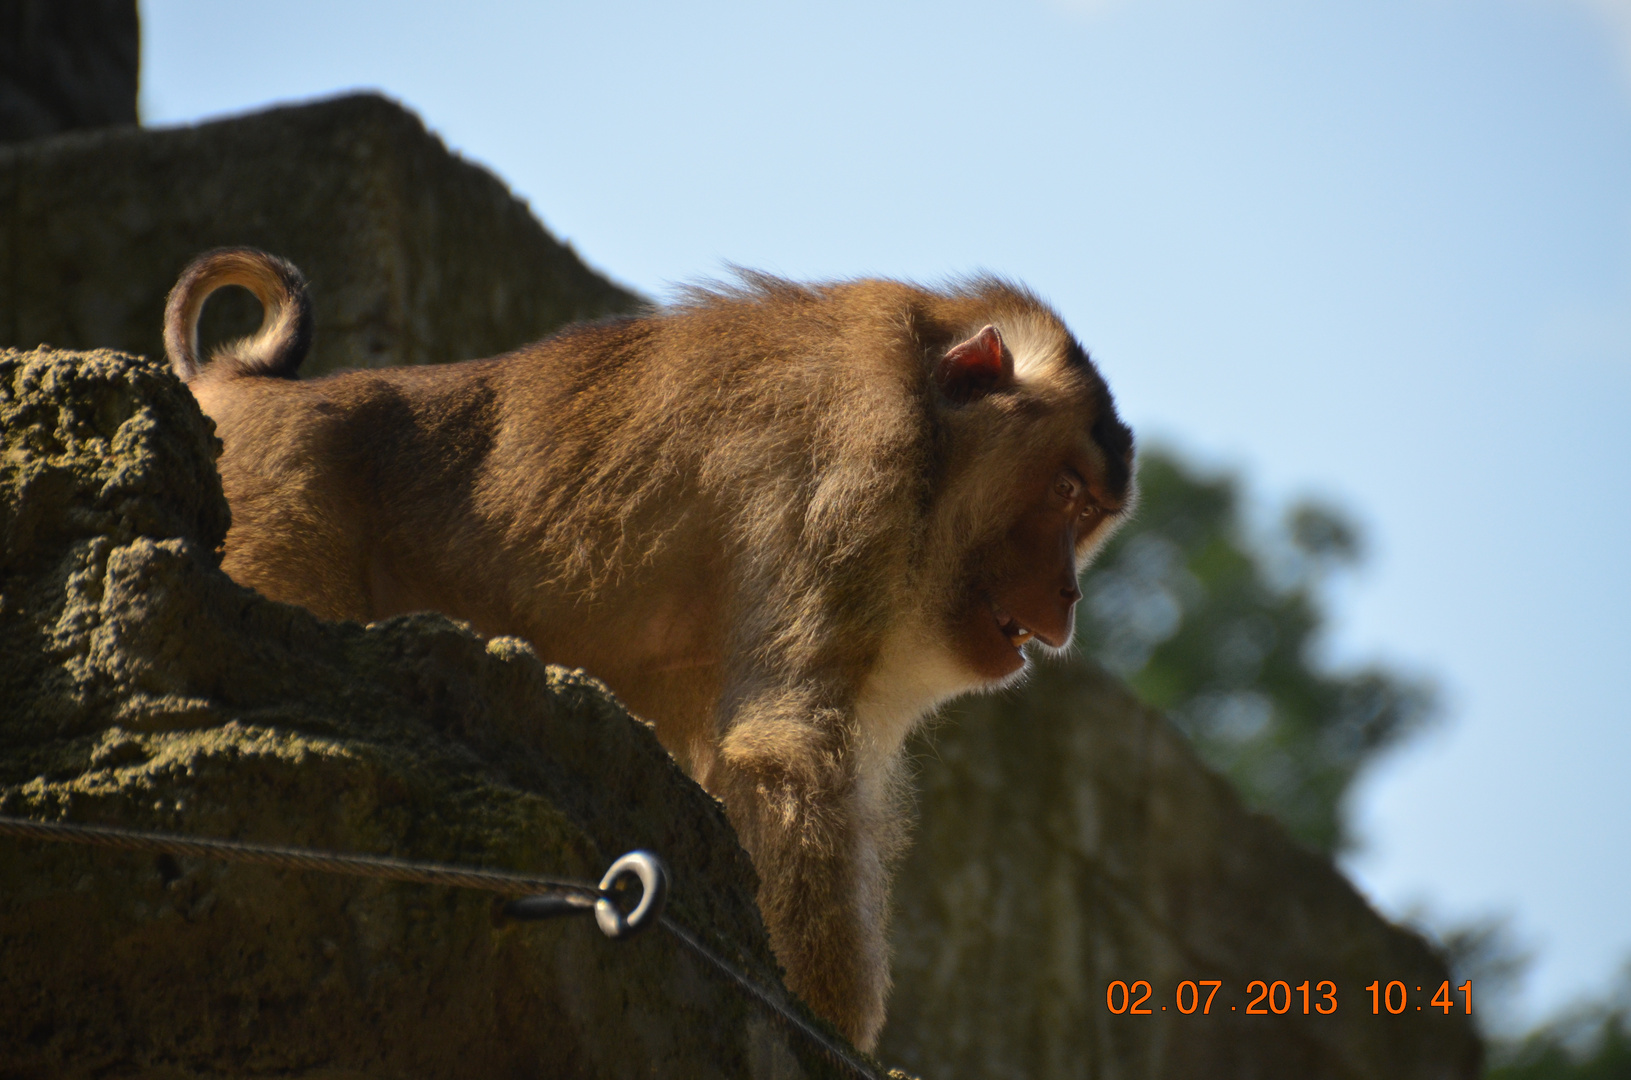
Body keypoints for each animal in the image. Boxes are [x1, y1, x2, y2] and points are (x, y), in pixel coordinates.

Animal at [165, 247, 1135, 1050]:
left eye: (1088, 513)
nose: (1068, 595)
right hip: (273, 511)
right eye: (1062, 491)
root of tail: (243, 387)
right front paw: (828, 1026)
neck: (931, 438)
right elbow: (784, 749)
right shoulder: (859, 474)